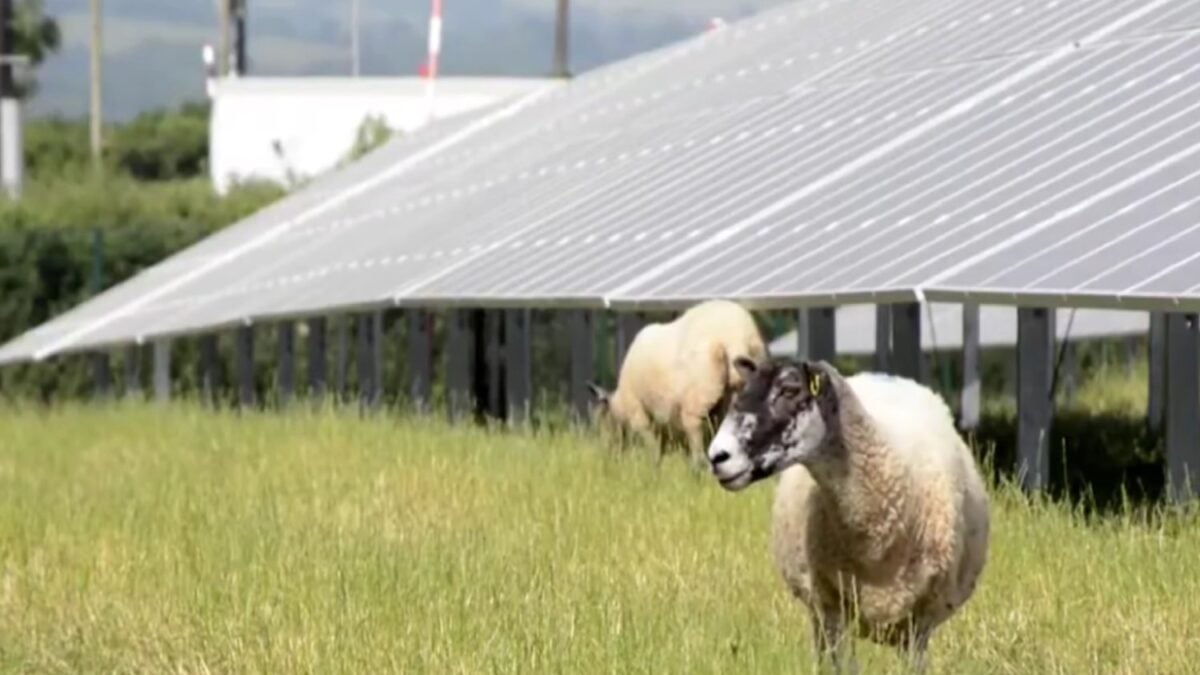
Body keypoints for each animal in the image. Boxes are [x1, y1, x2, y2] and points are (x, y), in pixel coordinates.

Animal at [586, 299, 769, 467]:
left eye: (603, 422)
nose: (605, 456)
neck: (620, 402)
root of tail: (737, 337)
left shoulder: (638, 410)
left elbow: (651, 442)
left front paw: (654, 465)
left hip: (699, 392)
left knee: (694, 426)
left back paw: (698, 465)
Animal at [705, 356, 990, 673]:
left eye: (789, 390)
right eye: (742, 390)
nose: (717, 456)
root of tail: (883, 375)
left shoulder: (920, 620)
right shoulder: (830, 606)